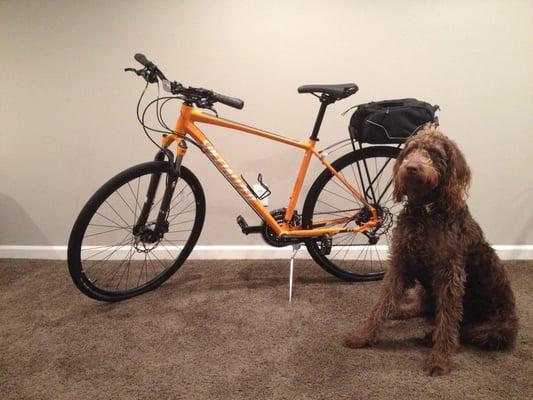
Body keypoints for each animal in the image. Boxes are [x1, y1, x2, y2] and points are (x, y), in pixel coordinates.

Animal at [342, 124, 516, 376]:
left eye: (434, 153)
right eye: (411, 150)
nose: (411, 168)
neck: (424, 211)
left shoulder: (449, 275)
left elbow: (448, 321)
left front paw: (440, 359)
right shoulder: (400, 265)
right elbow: (382, 303)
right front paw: (364, 335)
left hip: (494, 329)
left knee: (462, 329)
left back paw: (430, 335)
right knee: (423, 306)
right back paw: (402, 310)